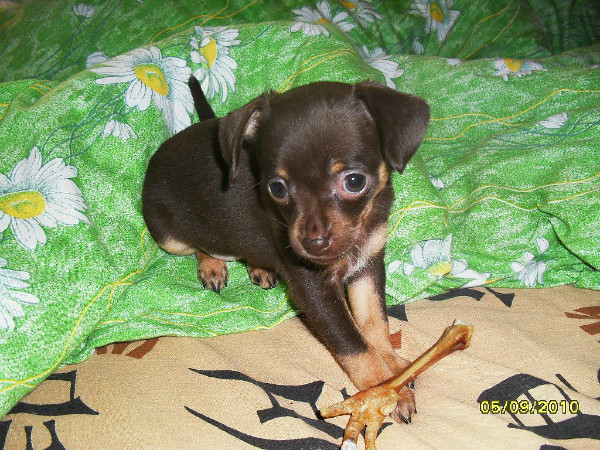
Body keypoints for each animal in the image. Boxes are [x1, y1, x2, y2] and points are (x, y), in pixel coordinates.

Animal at [142, 77, 430, 423]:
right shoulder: (314, 289)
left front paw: (393, 366)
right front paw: (383, 388)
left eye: (355, 182)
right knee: (201, 243)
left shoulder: (368, 264)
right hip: (170, 237)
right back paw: (212, 264)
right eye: (277, 188)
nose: (313, 243)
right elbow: (352, 344)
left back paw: (259, 267)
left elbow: (374, 321)